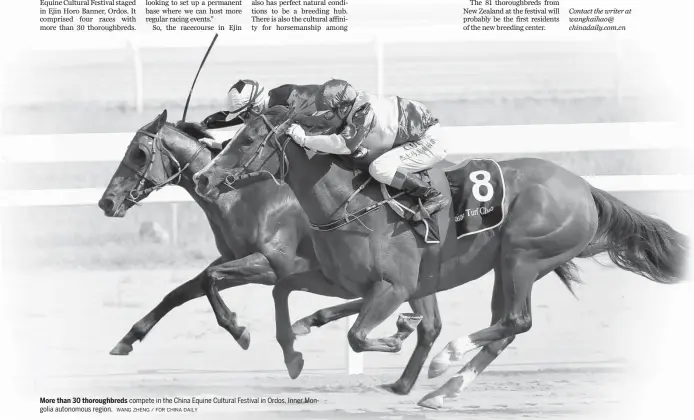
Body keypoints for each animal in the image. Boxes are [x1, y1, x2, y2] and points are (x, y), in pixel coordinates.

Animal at [97, 109, 438, 398]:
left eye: (139, 153)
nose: (106, 202)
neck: (242, 196)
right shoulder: (234, 259)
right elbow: (183, 291)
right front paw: (126, 340)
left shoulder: (272, 266)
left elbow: (210, 279)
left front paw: (239, 331)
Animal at [194, 106, 692, 410]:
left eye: (247, 141)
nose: (203, 177)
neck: (350, 205)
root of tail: (585, 188)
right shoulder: (373, 282)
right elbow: (304, 298)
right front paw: (298, 340)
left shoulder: (395, 285)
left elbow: (358, 333)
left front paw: (396, 337)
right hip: (507, 266)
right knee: (504, 328)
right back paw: (442, 388)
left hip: (523, 256)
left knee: (516, 321)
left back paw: (444, 364)